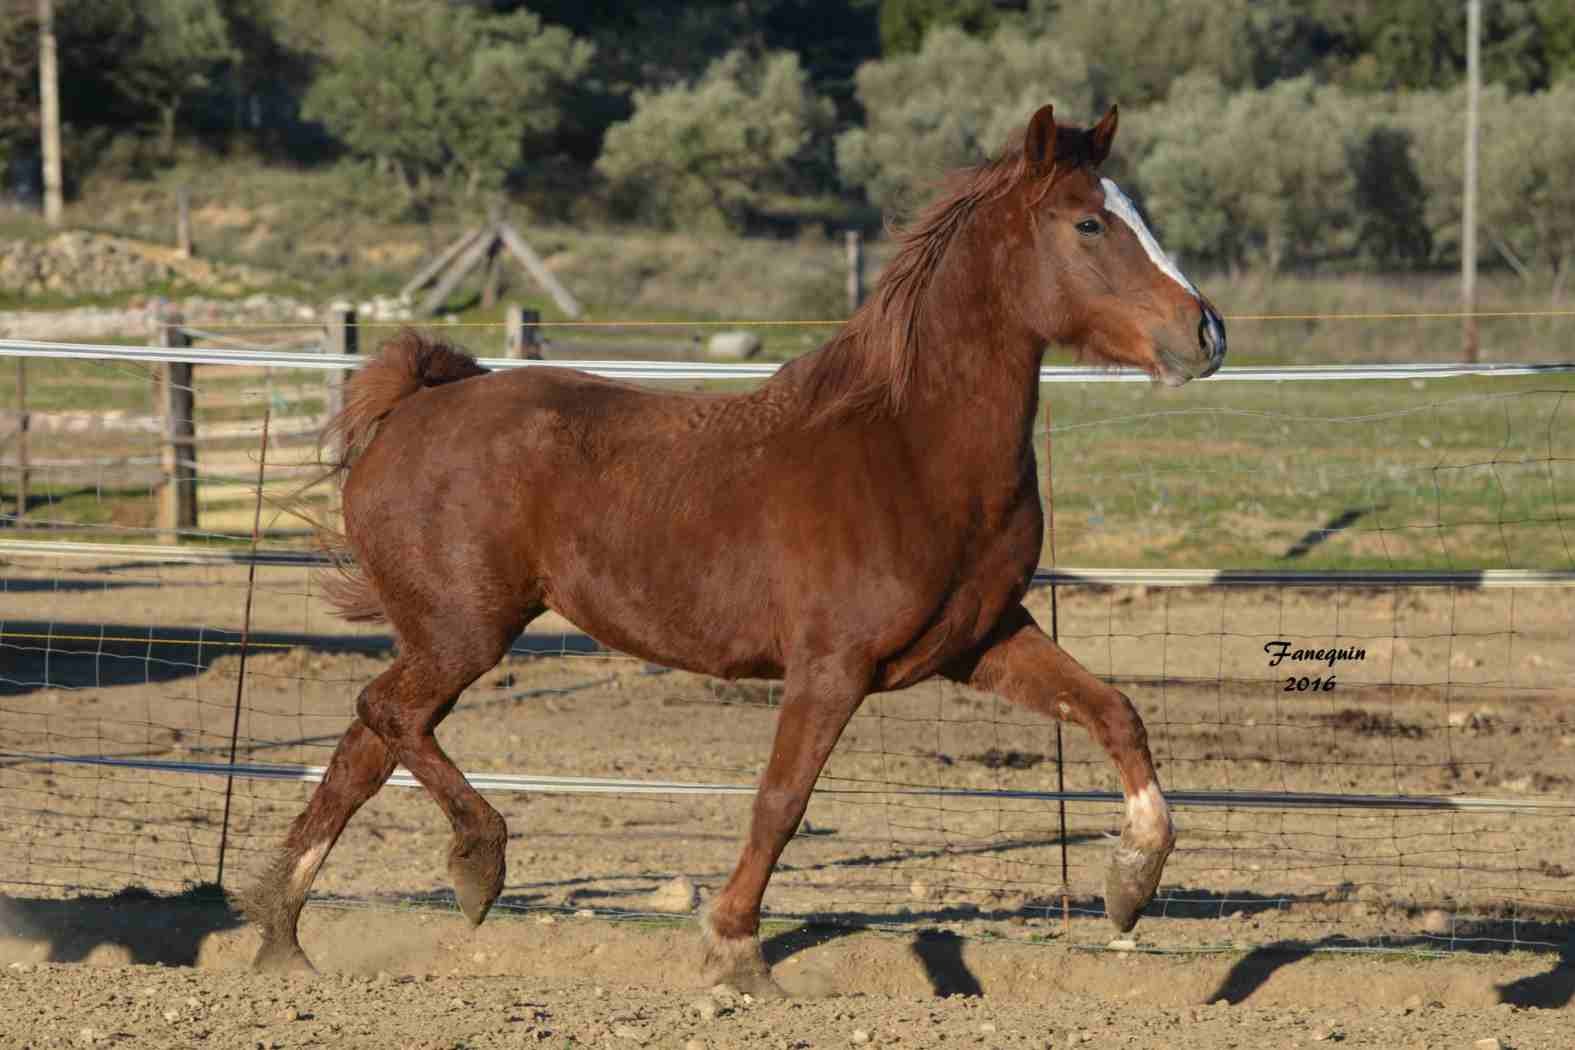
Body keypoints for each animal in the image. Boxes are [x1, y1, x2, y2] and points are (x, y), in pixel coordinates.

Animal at [239, 104, 1228, 994]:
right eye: (1089, 222)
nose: (1205, 334)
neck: (908, 447)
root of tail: (415, 404)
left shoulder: (979, 643)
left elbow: (1115, 713)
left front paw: (1130, 888)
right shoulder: (830, 667)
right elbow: (781, 802)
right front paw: (734, 953)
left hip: (444, 638)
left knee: (363, 748)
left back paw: (283, 937)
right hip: (464, 632)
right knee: (385, 715)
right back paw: (476, 868)